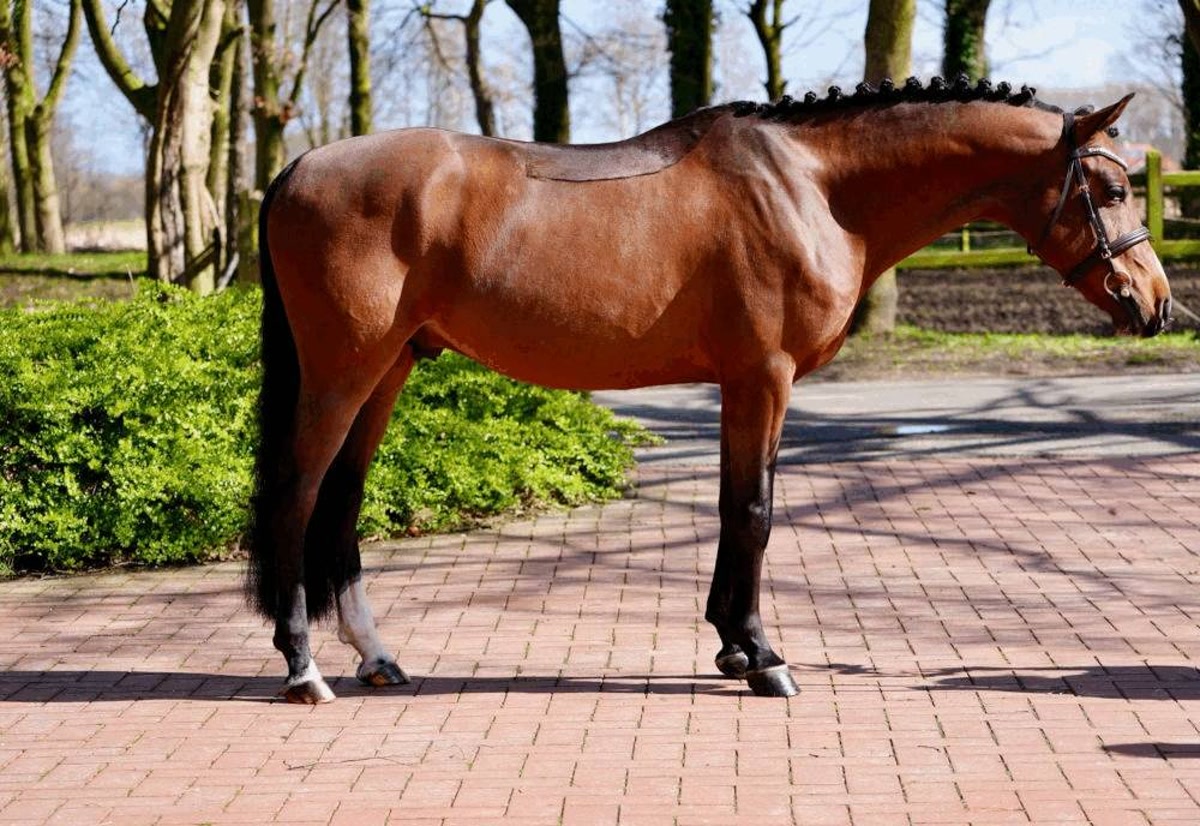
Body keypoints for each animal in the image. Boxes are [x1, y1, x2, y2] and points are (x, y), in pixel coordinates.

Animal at [247, 76, 1172, 704]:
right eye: (1114, 188)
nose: (1158, 303)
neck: (814, 188)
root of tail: (295, 168)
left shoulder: (745, 384)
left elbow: (740, 505)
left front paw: (733, 646)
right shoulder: (762, 376)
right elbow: (753, 513)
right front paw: (763, 659)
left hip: (391, 368)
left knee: (341, 503)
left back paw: (375, 658)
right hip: (345, 371)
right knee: (296, 495)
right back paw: (303, 668)